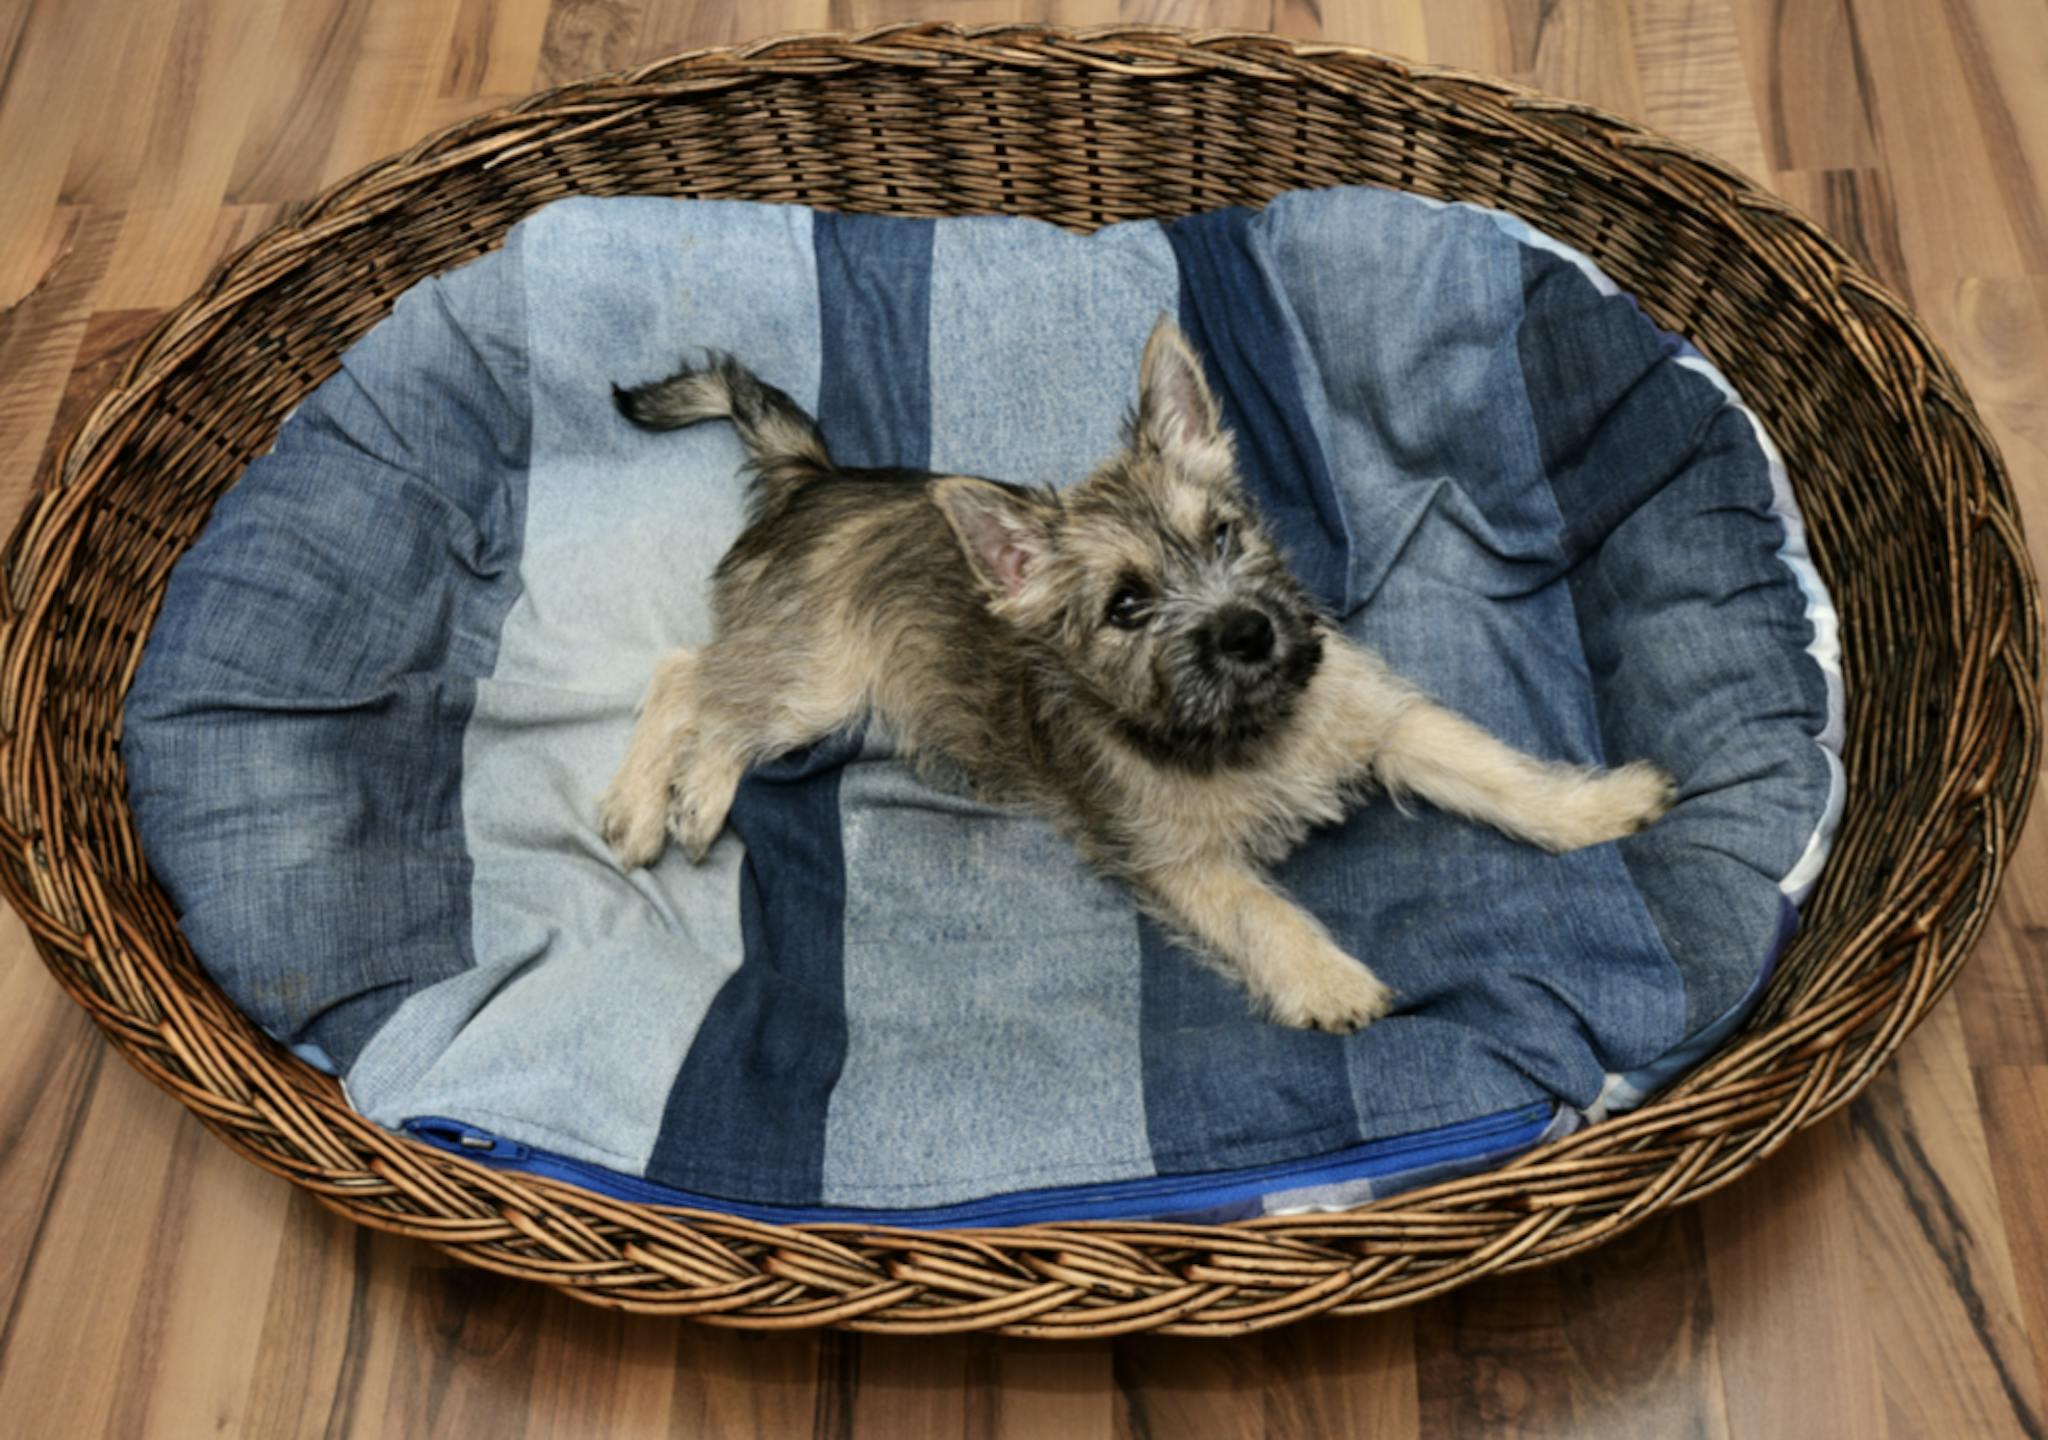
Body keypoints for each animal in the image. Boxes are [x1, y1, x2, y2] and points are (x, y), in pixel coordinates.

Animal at [598, 317, 1679, 1036]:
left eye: (1225, 535)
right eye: (1124, 606)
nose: (1248, 632)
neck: (1246, 730)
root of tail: (815, 480)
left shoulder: (1380, 717)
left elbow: (1489, 767)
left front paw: (1597, 807)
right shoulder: (1179, 859)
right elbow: (1261, 911)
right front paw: (1328, 984)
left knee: (706, 682)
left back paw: (683, 798)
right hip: (818, 679)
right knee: (687, 676)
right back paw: (657, 805)